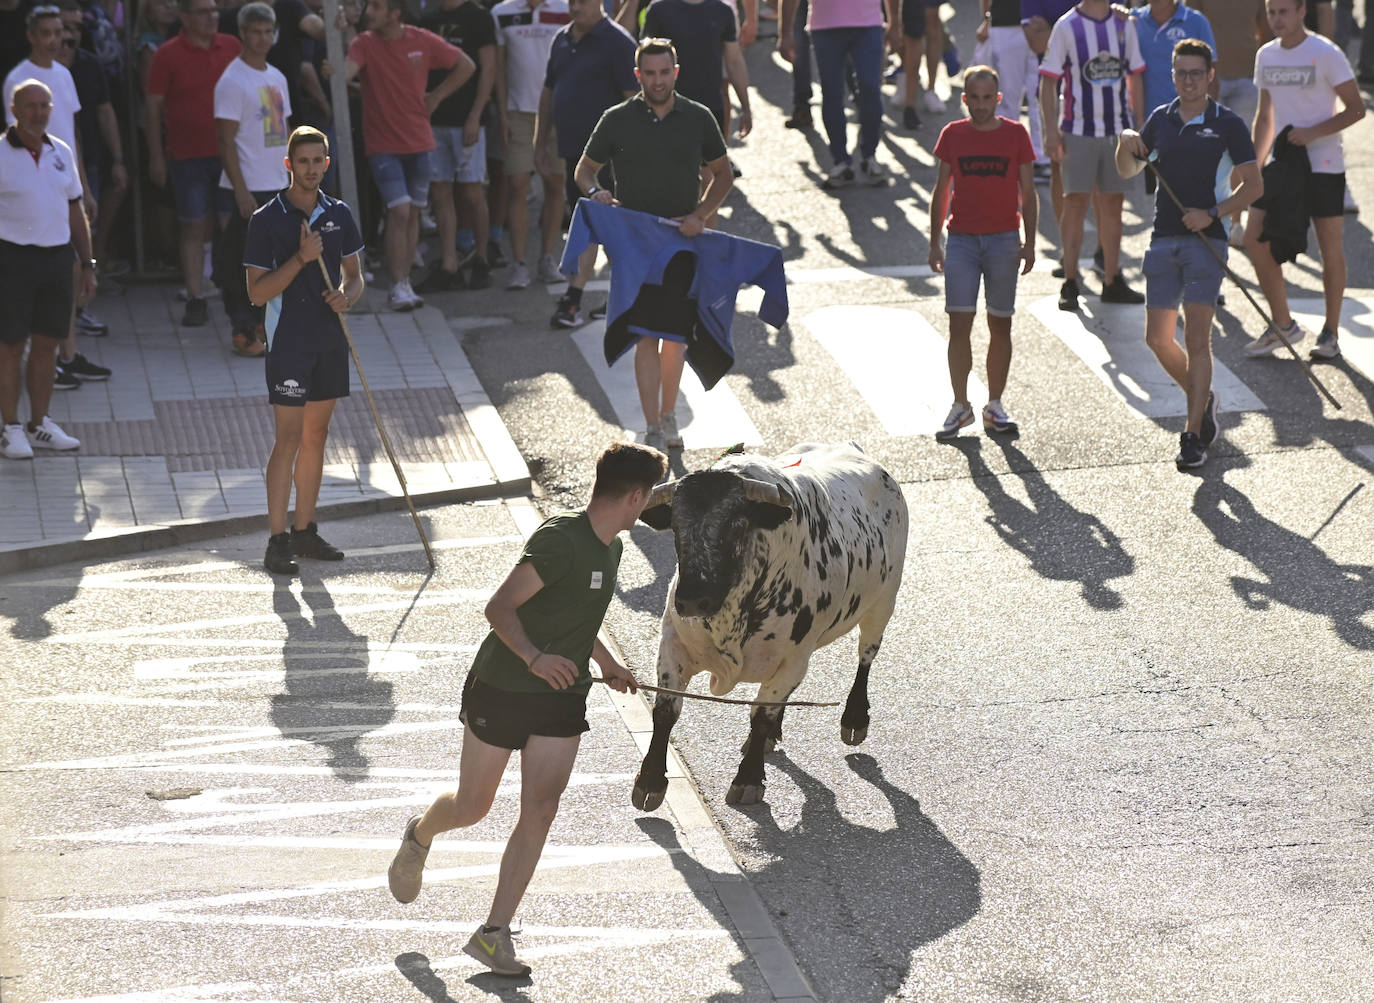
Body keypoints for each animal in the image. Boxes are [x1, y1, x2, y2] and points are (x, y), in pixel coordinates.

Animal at [632, 436, 912, 802]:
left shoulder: (793, 659)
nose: (693, 599)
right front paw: (650, 779)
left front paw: (748, 778)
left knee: (866, 655)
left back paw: (854, 718)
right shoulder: (673, 644)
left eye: (735, 525)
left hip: (883, 603)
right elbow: (666, 710)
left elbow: (761, 714)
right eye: (677, 527)